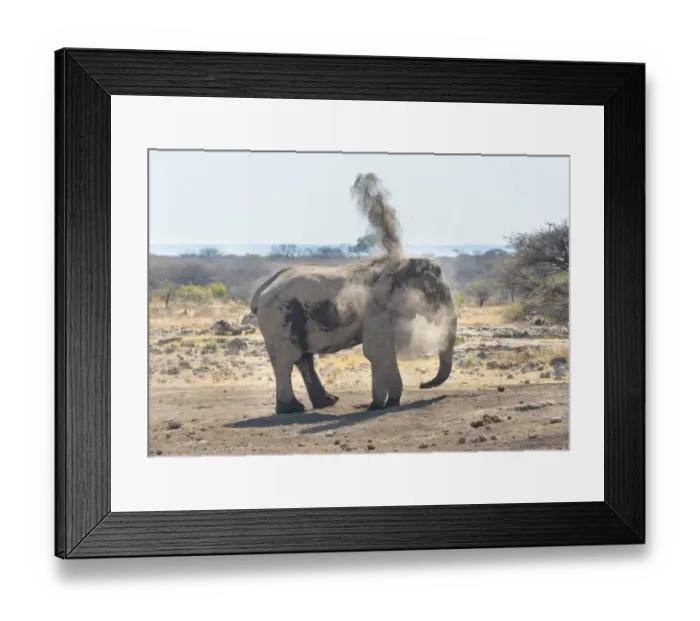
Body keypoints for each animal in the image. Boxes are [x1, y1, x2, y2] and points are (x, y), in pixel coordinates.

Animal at [249, 254, 458, 414]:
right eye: (433, 294)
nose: (423, 384)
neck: (401, 264)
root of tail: (260, 293)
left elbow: (385, 352)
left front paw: (389, 403)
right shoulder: (376, 309)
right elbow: (377, 352)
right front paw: (379, 406)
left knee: (303, 359)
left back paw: (326, 403)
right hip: (279, 317)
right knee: (288, 360)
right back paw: (292, 409)